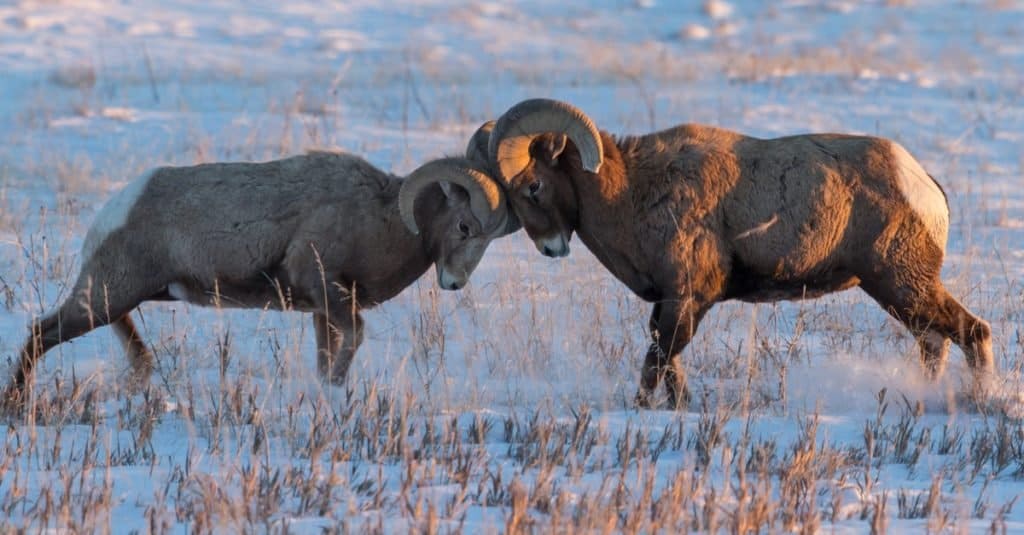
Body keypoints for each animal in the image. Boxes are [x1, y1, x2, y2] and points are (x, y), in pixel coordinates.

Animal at [4, 147, 516, 405]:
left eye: (493, 237)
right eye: (464, 226)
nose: (454, 283)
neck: (382, 217)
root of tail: (117, 207)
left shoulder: (322, 311)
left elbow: (329, 360)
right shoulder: (328, 291)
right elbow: (350, 345)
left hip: (124, 298)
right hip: (105, 297)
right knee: (41, 332)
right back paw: (17, 400)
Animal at [485, 97, 991, 405]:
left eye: (533, 186)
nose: (550, 248)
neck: (631, 192)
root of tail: (923, 184)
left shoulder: (687, 298)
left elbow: (657, 361)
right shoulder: (670, 303)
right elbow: (668, 362)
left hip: (901, 284)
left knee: (972, 332)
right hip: (901, 293)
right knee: (935, 343)